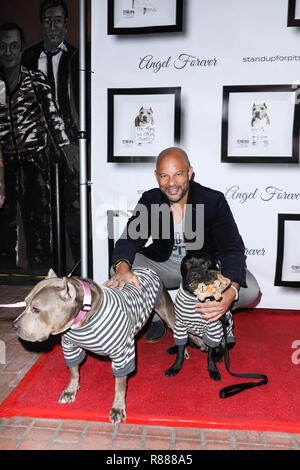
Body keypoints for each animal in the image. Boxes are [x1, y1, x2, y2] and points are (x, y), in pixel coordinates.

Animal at [12, 266, 176, 424]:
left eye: (36, 310)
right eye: (25, 303)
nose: (14, 326)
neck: (83, 317)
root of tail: (145, 269)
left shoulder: (122, 354)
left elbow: (120, 385)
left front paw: (117, 408)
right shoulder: (69, 346)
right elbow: (73, 370)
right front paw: (70, 390)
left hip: (167, 312)